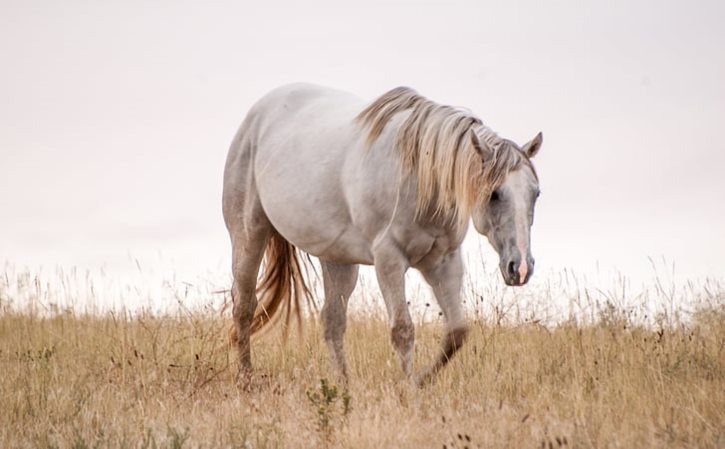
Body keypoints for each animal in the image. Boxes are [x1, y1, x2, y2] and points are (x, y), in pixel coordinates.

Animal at [223, 82, 540, 384]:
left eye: (536, 193)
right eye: (494, 194)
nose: (521, 268)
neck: (420, 178)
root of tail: (258, 114)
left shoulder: (445, 261)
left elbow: (457, 332)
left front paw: (421, 381)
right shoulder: (389, 260)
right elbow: (403, 330)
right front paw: (408, 388)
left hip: (337, 259)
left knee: (332, 321)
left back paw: (344, 386)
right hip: (249, 235)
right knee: (244, 306)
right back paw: (246, 379)